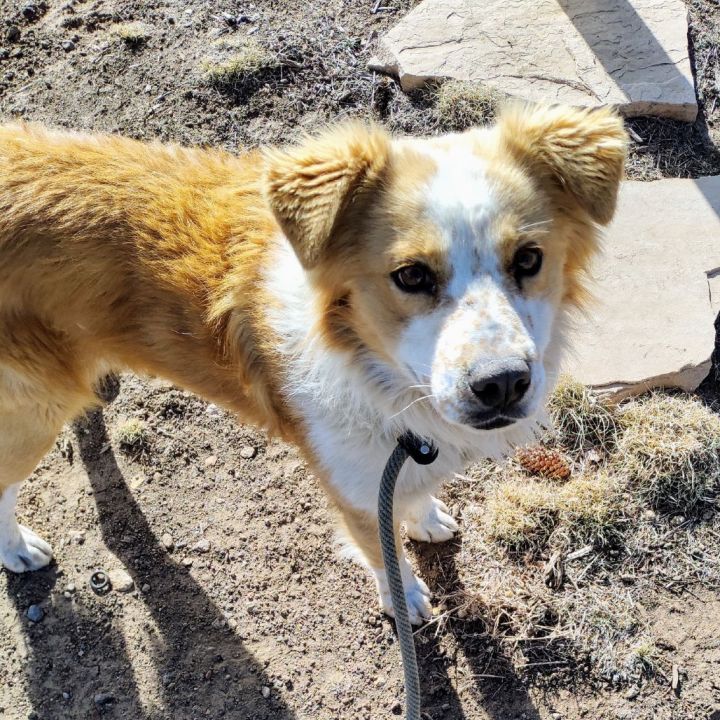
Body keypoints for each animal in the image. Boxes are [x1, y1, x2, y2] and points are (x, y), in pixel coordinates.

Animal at [0, 105, 628, 624]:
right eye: (411, 275)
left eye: (529, 259)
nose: (501, 385)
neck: (377, 374)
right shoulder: (353, 491)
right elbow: (382, 552)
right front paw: (406, 596)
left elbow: (413, 497)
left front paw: (423, 517)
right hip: (31, 411)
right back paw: (18, 548)